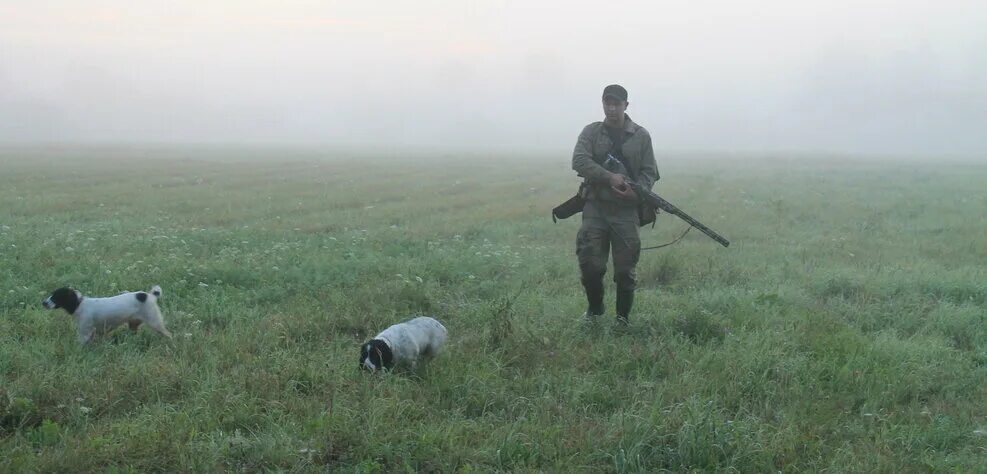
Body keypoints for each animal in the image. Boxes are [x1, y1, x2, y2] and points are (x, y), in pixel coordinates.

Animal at [44, 286, 174, 344]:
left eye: (56, 296)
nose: (43, 302)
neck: (80, 304)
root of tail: (150, 295)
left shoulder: (85, 333)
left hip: (155, 322)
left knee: (169, 334)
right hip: (133, 325)